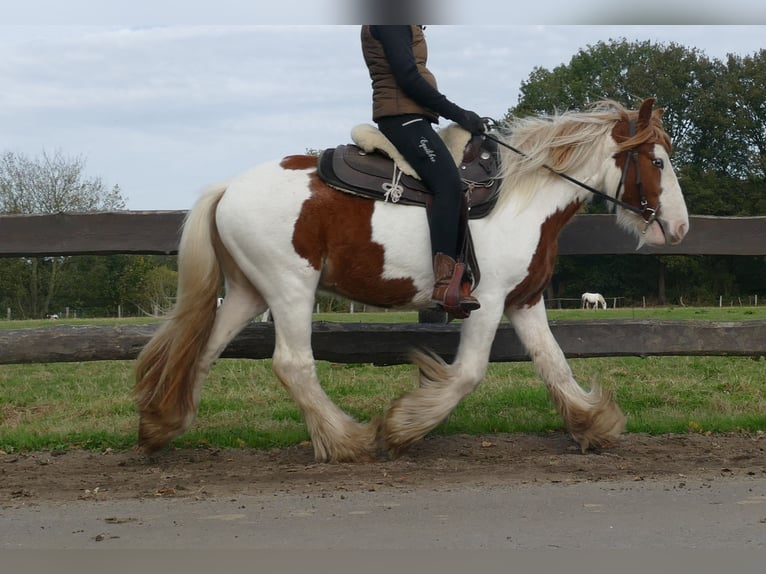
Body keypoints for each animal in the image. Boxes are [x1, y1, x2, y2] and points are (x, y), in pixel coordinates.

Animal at [135, 98, 692, 464]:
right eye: (658, 161)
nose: (680, 227)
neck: (520, 199)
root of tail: (228, 188)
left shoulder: (525, 301)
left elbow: (554, 364)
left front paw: (594, 425)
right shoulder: (488, 301)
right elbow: (467, 373)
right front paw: (404, 428)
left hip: (249, 294)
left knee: (203, 350)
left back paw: (162, 423)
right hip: (290, 289)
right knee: (293, 364)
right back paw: (347, 441)